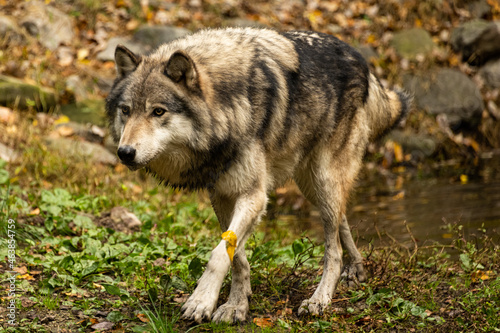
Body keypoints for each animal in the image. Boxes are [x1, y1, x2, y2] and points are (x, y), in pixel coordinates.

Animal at [105, 27, 410, 322]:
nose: (125, 153)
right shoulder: (223, 195)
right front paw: (237, 305)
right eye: (126, 111)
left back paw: (319, 300)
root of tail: (358, 56)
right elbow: (236, 255)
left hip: (324, 179)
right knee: (341, 219)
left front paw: (202, 301)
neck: (227, 108)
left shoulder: (254, 195)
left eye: (158, 111)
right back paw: (356, 268)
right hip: (312, 186)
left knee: (332, 247)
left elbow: (218, 255)